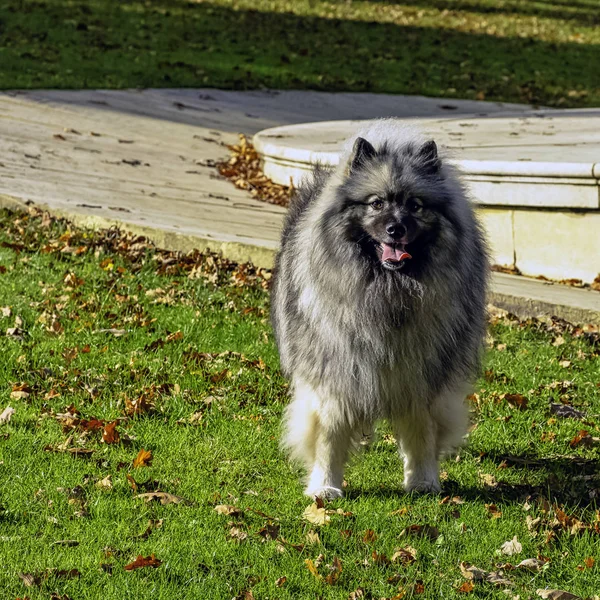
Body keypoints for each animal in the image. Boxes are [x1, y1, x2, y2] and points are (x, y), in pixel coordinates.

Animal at [270, 120, 488, 496]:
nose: (395, 228)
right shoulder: (336, 377)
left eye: (415, 205)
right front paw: (325, 487)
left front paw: (423, 481)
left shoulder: (421, 379)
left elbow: (421, 433)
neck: (387, 291)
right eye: (376, 203)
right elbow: (329, 436)